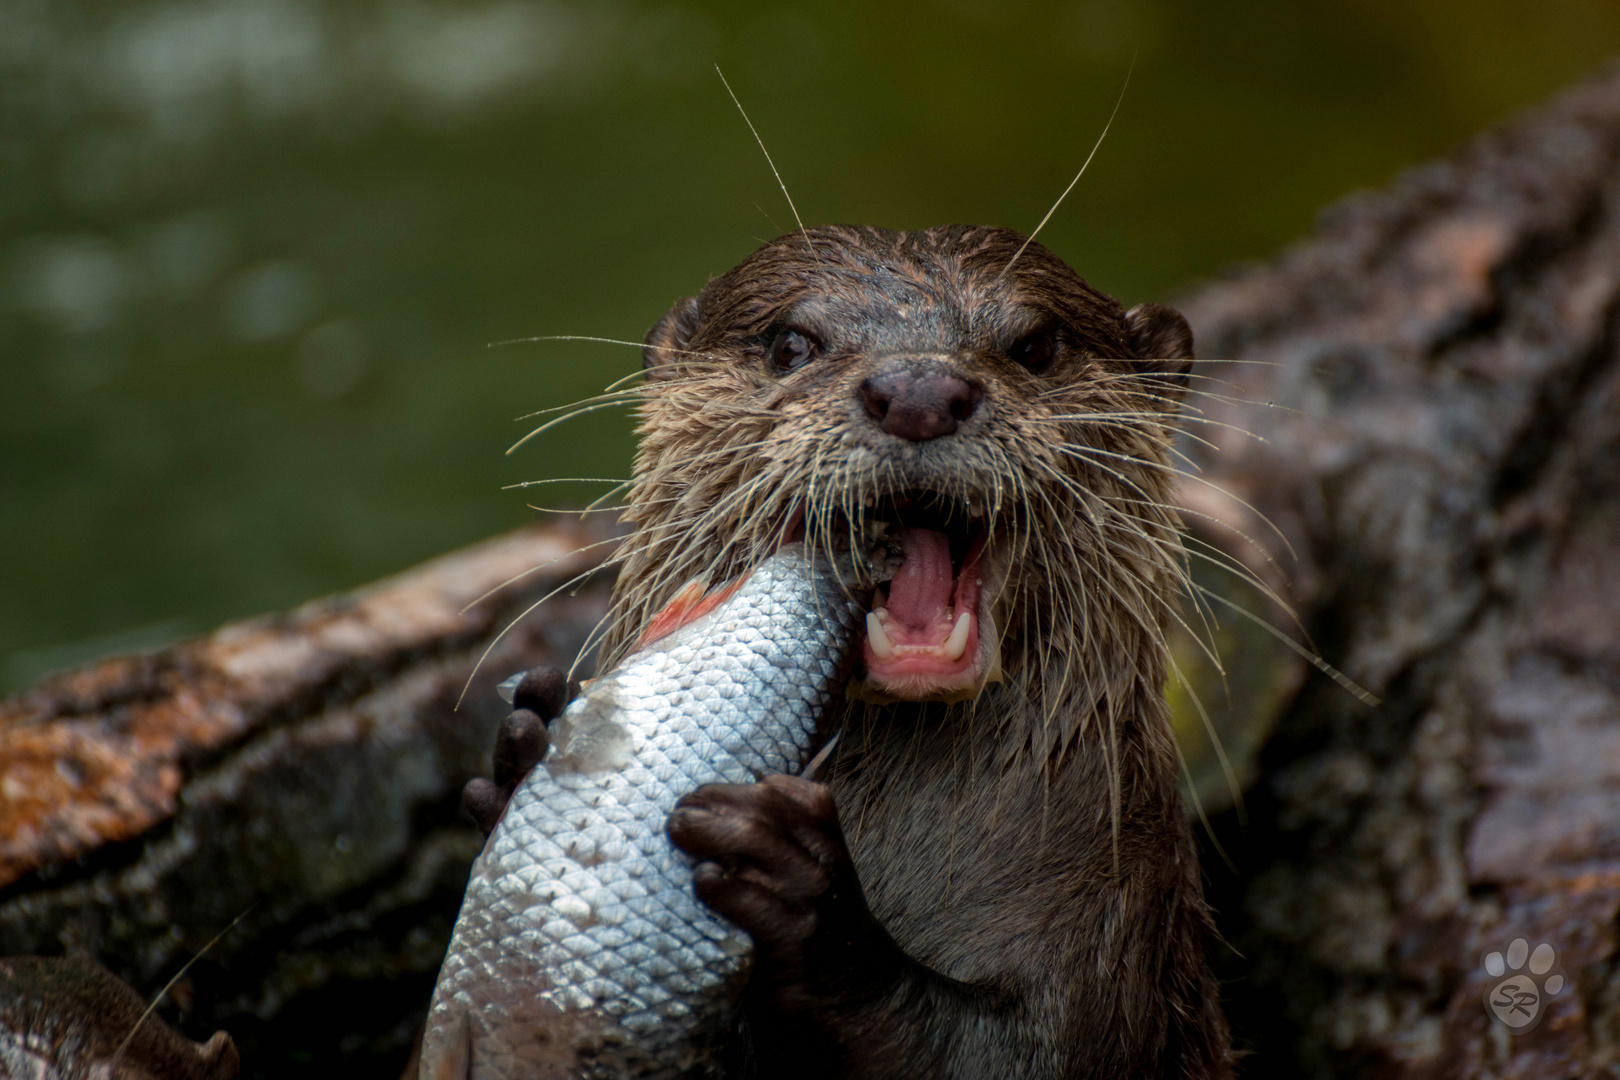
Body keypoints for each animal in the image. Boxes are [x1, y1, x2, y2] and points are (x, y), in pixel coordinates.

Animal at [463, 223, 1231, 1075]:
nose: (920, 391)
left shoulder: (1116, 942)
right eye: (791, 343)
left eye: (1035, 345)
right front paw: (522, 752)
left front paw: (806, 892)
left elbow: (998, 1054)